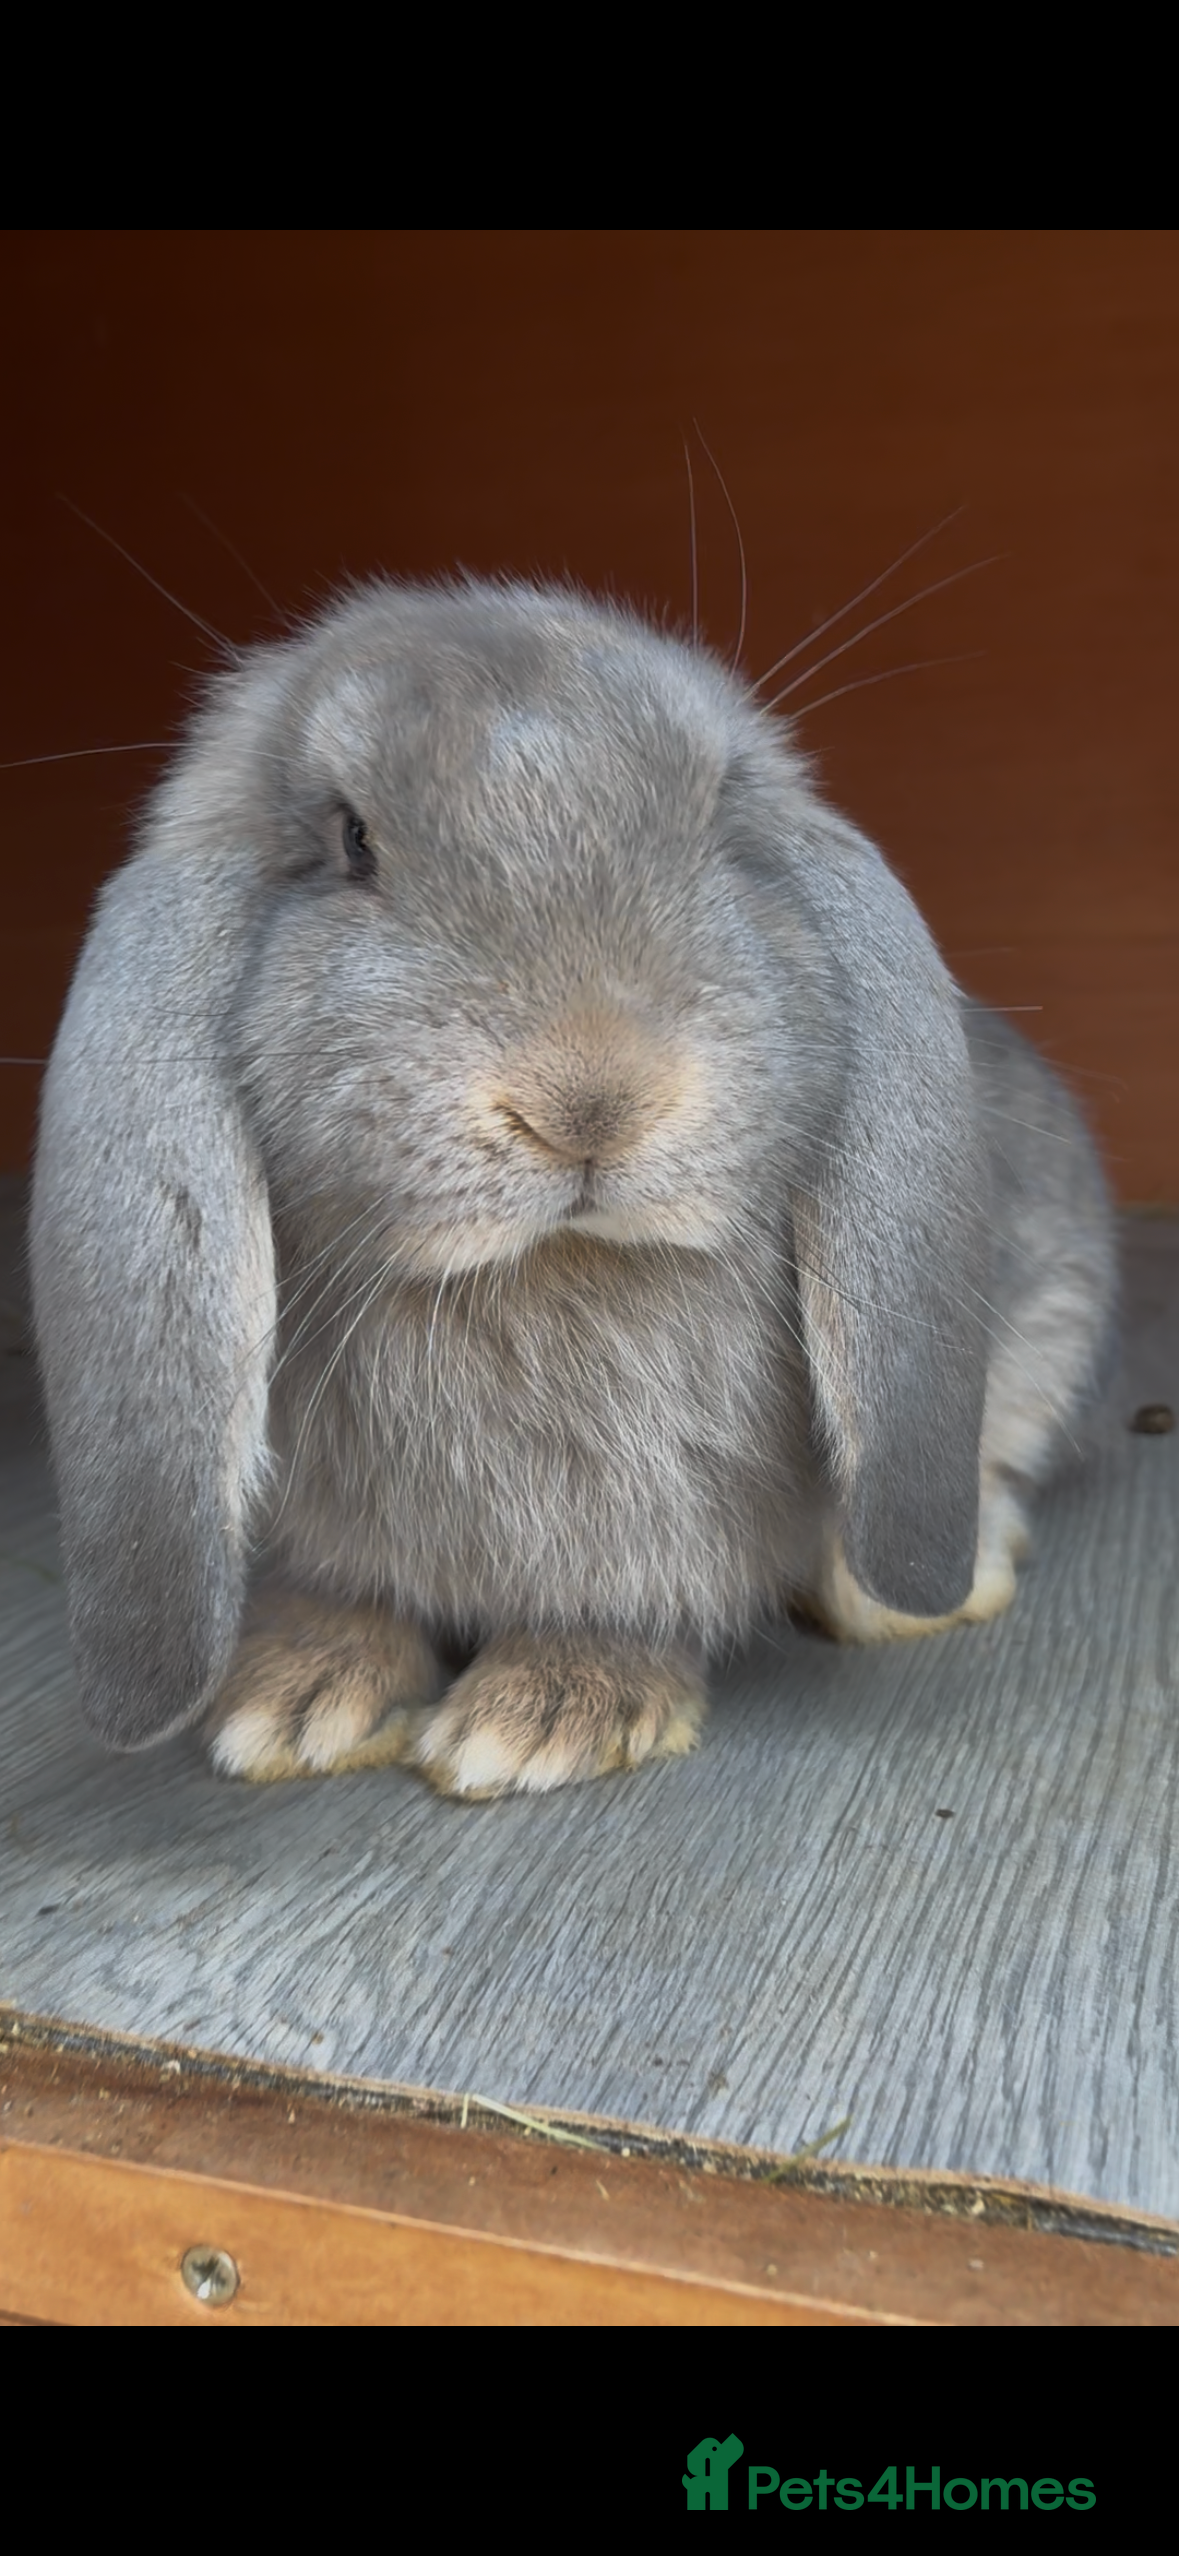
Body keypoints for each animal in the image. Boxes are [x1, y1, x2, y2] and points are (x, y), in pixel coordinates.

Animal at [28, 575, 1118, 1798]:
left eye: (714, 820)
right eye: (352, 840)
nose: (592, 1099)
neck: (544, 1273)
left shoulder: (665, 1512)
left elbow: (633, 1589)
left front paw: (549, 1712)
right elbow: (345, 1592)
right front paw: (299, 1692)